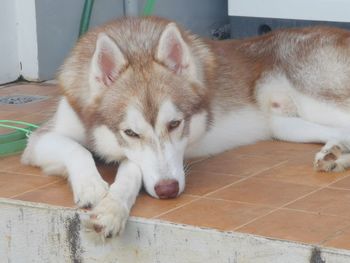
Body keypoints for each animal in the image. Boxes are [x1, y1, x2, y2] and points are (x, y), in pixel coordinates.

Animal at [22, 15, 350, 240]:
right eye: (130, 133)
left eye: (175, 124)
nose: (167, 190)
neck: (137, 45)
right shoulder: (39, 140)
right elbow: (76, 149)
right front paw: (92, 186)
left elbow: (131, 171)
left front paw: (111, 207)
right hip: (282, 124)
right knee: (341, 134)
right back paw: (335, 156)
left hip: (316, 100)